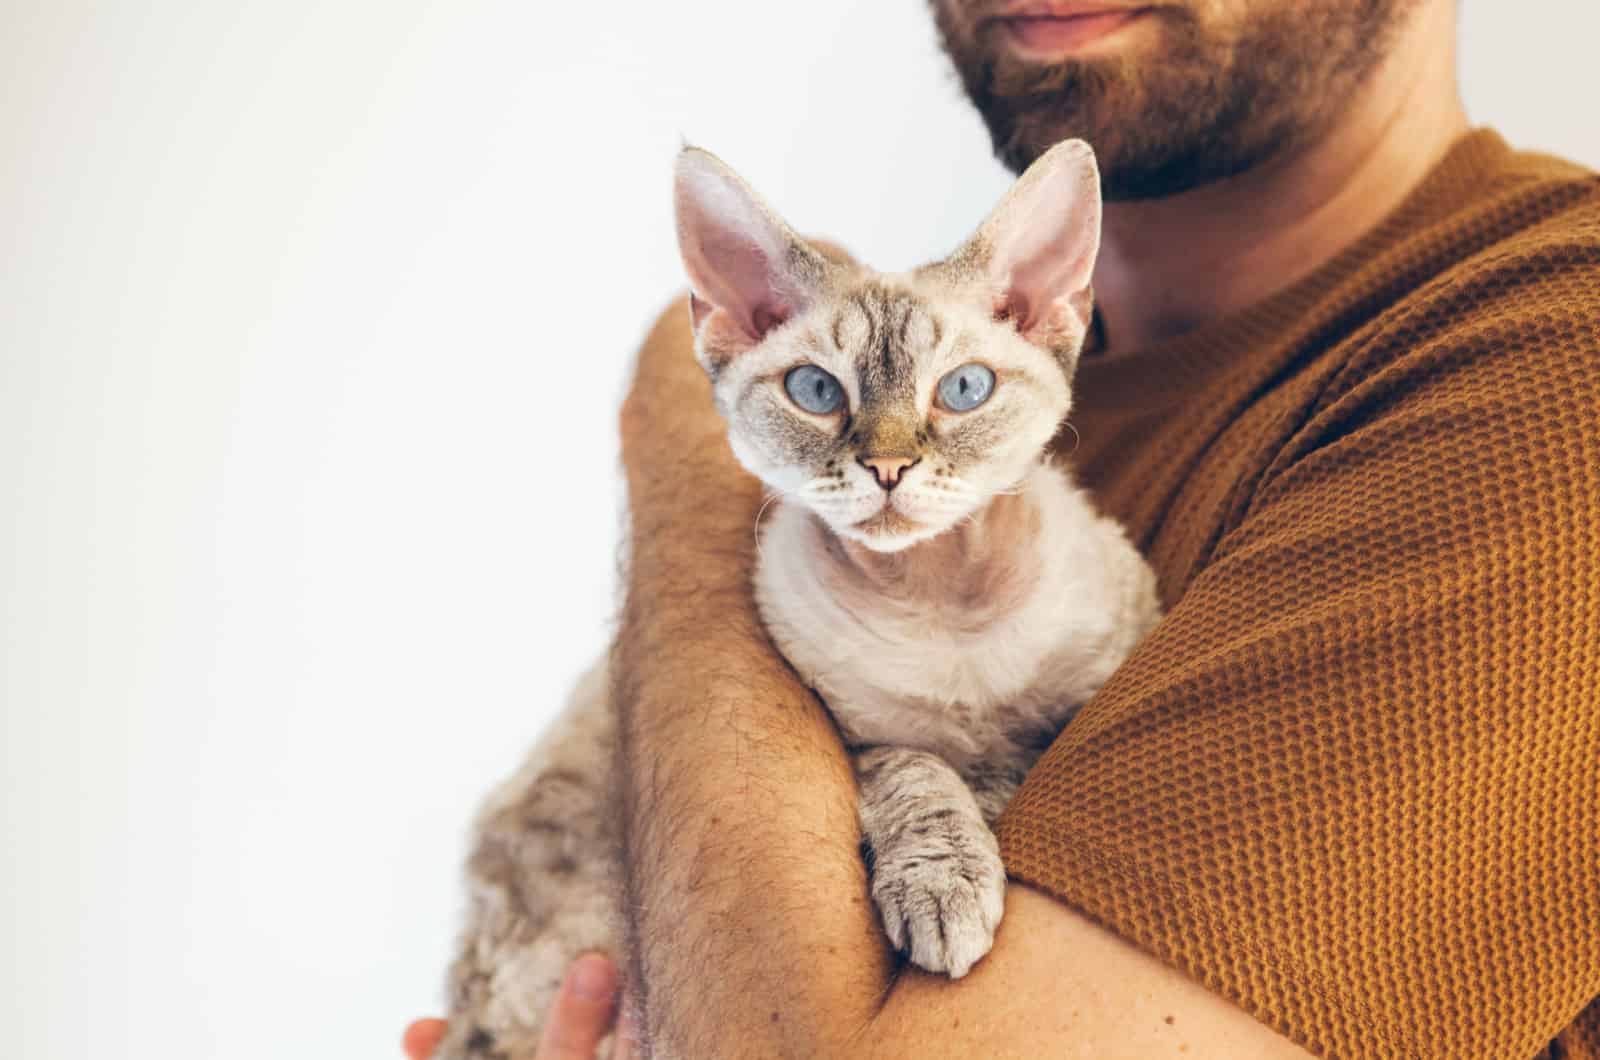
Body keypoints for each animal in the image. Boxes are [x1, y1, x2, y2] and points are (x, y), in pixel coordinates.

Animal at [438, 140, 1164, 1060]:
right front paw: (949, 883)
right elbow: (922, 776)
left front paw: (992, 806)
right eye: (817, 392)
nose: (887, 468)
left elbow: (1033, 748)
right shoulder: (855, 735)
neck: (946, 610)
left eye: (963, 389)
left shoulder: (1103, 665)